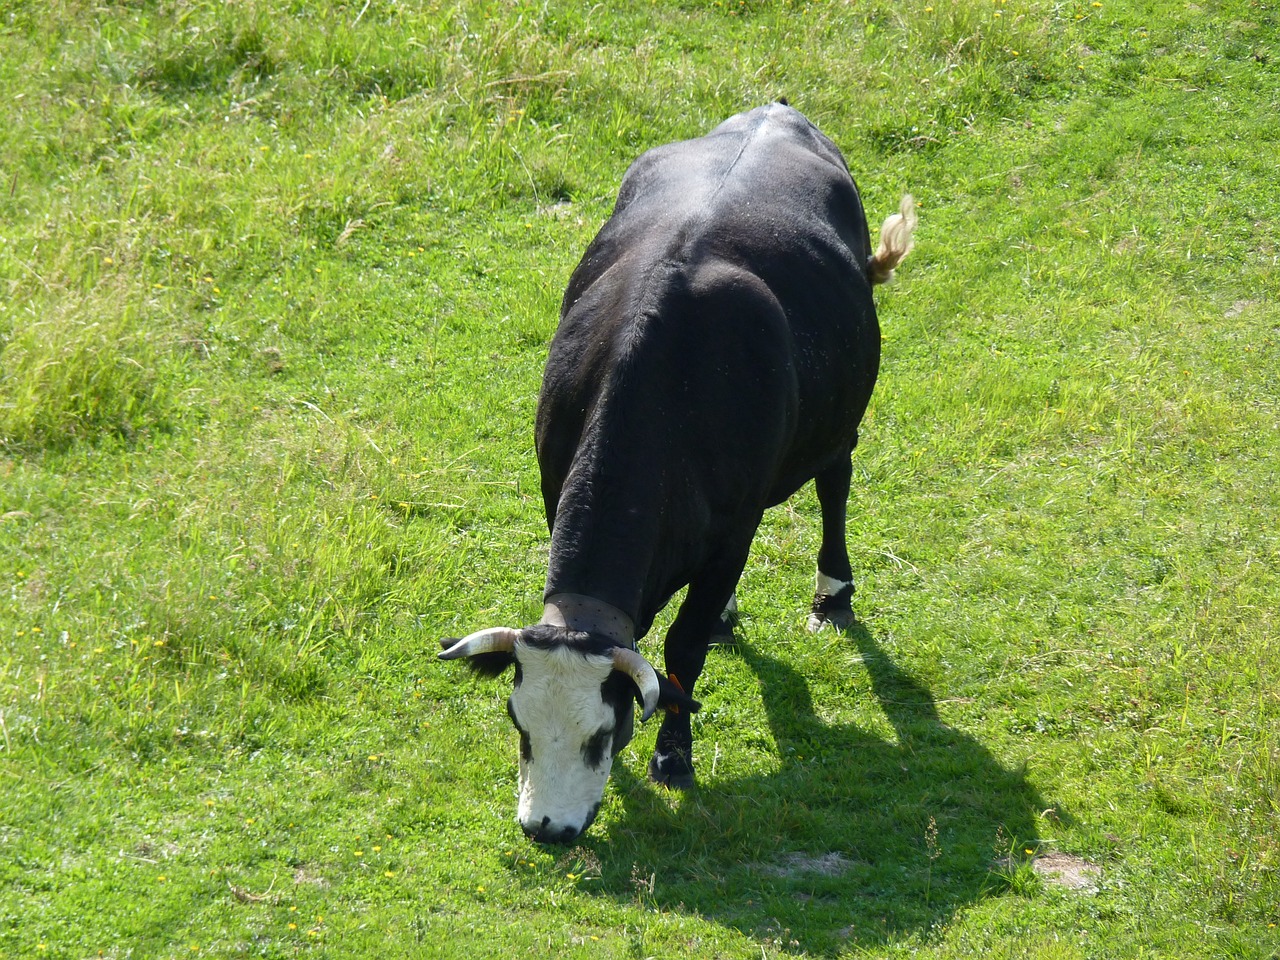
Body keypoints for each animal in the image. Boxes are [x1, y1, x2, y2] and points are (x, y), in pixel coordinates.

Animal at [442, 101, 921, 844]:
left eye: (601, 733)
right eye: (520, 725)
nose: (545, 827)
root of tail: (776, 109)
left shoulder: (735, 530)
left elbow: (683, 645)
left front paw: (673, 756)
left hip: (839, 421)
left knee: (835, 482)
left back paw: (832, 594)